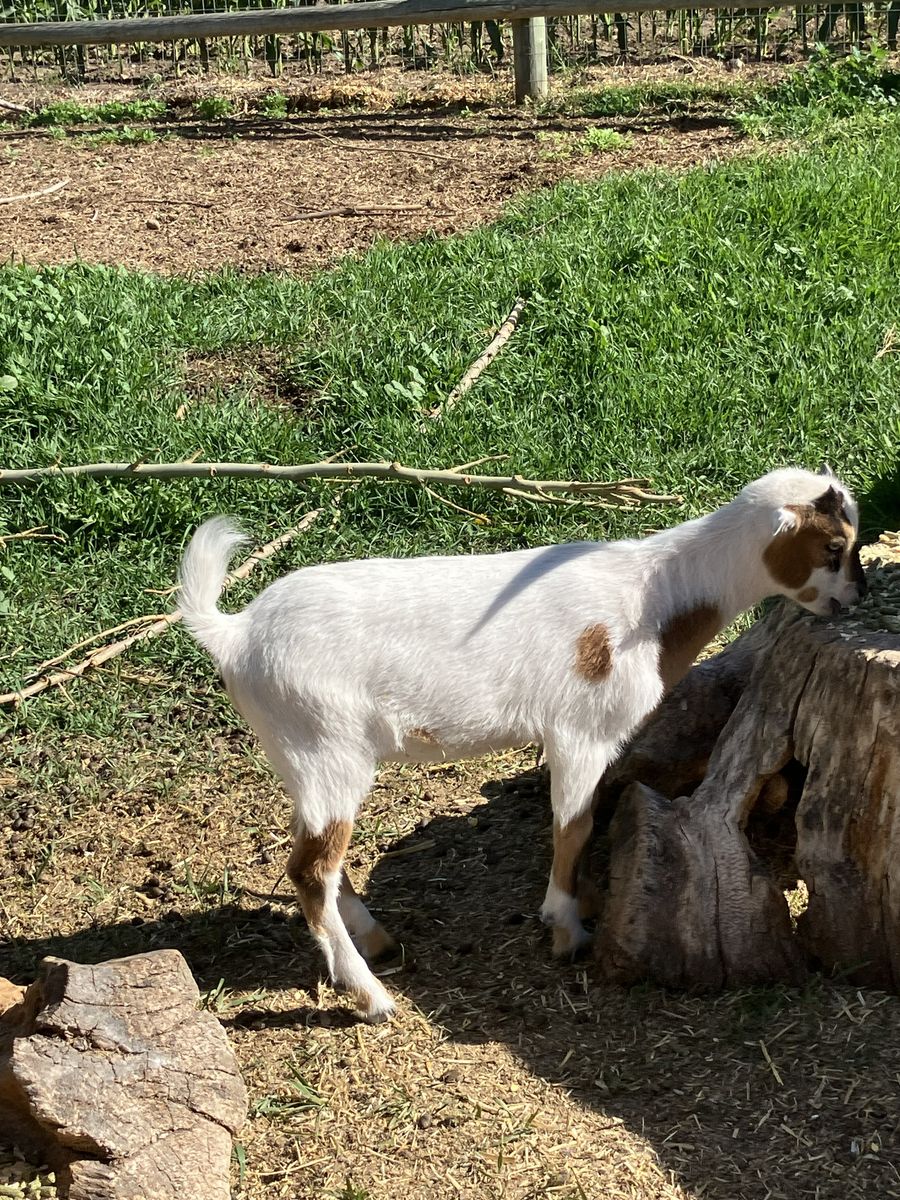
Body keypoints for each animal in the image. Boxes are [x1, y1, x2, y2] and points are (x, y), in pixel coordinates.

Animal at [178, 467, 866, 1021]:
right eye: (834, 546)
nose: (856, 597)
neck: (655, 595)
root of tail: (235, 633)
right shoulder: (581, 732)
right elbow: (574, 823)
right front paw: (566, 928)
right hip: (327, 748)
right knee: (310, 869)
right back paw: (372, 997)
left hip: (299, 756)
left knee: (316, 856)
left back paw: (377, 941)